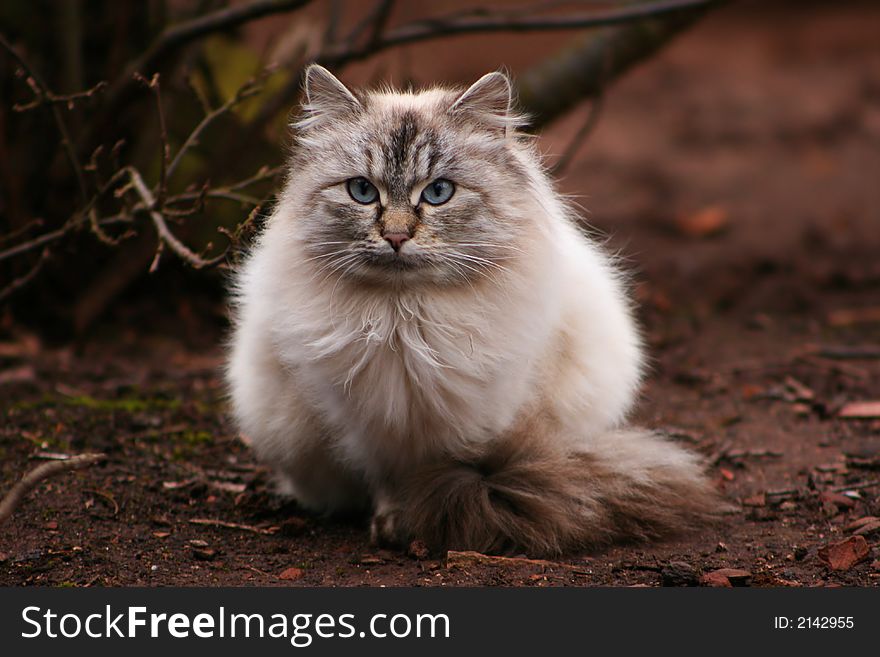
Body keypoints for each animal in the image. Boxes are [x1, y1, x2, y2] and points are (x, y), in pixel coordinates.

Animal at [225, 64, 716, 552]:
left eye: (438, 192)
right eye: (363, 191)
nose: (397, 237)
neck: (406, 321)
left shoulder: (491, 411)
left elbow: (450, 468)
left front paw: (418, 520)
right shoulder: (365, 424)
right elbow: (385, 478)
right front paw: (394, 522)